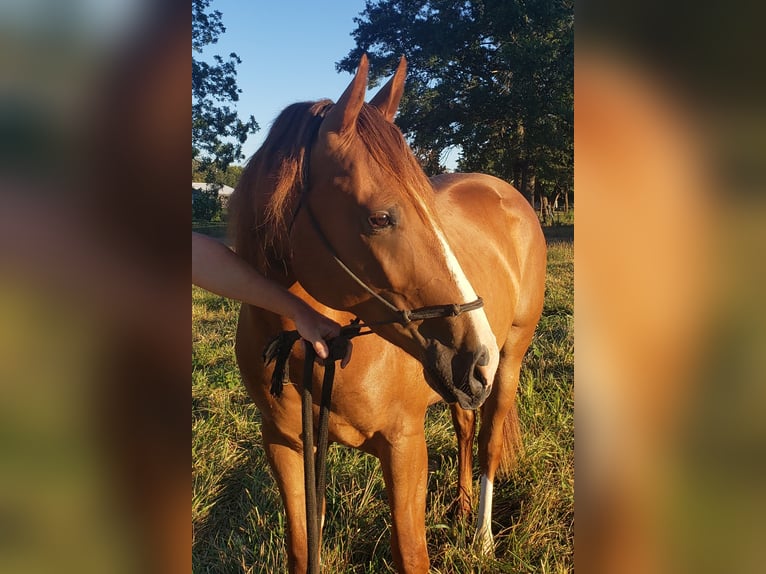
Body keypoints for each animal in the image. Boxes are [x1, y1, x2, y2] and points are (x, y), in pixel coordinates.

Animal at [231, 55, 548, 574]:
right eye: (380, 218)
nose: (477, 356)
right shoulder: (286, 447)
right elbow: (303, 548)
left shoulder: (404, 446)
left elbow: (411, 554)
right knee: (465, 428)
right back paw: (460, 507)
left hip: (509, 361)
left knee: (489, 442)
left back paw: (481, 536)